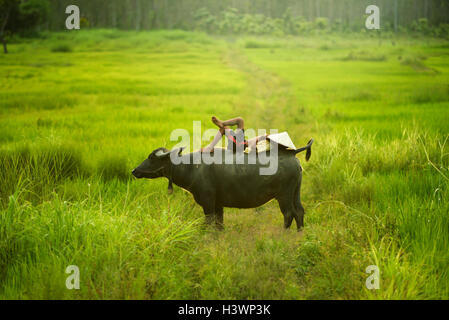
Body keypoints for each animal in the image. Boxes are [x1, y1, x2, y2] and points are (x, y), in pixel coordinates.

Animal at [131, 139, 314, 230]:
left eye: (152, 158)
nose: (134, 170)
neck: (192, 167)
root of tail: (292, 153)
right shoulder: (218, 204)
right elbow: (219, 225)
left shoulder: (208, 203)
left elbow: (209, 224)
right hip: (295, 193)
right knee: (299, 212)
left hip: (284, 196)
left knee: (289, 214)